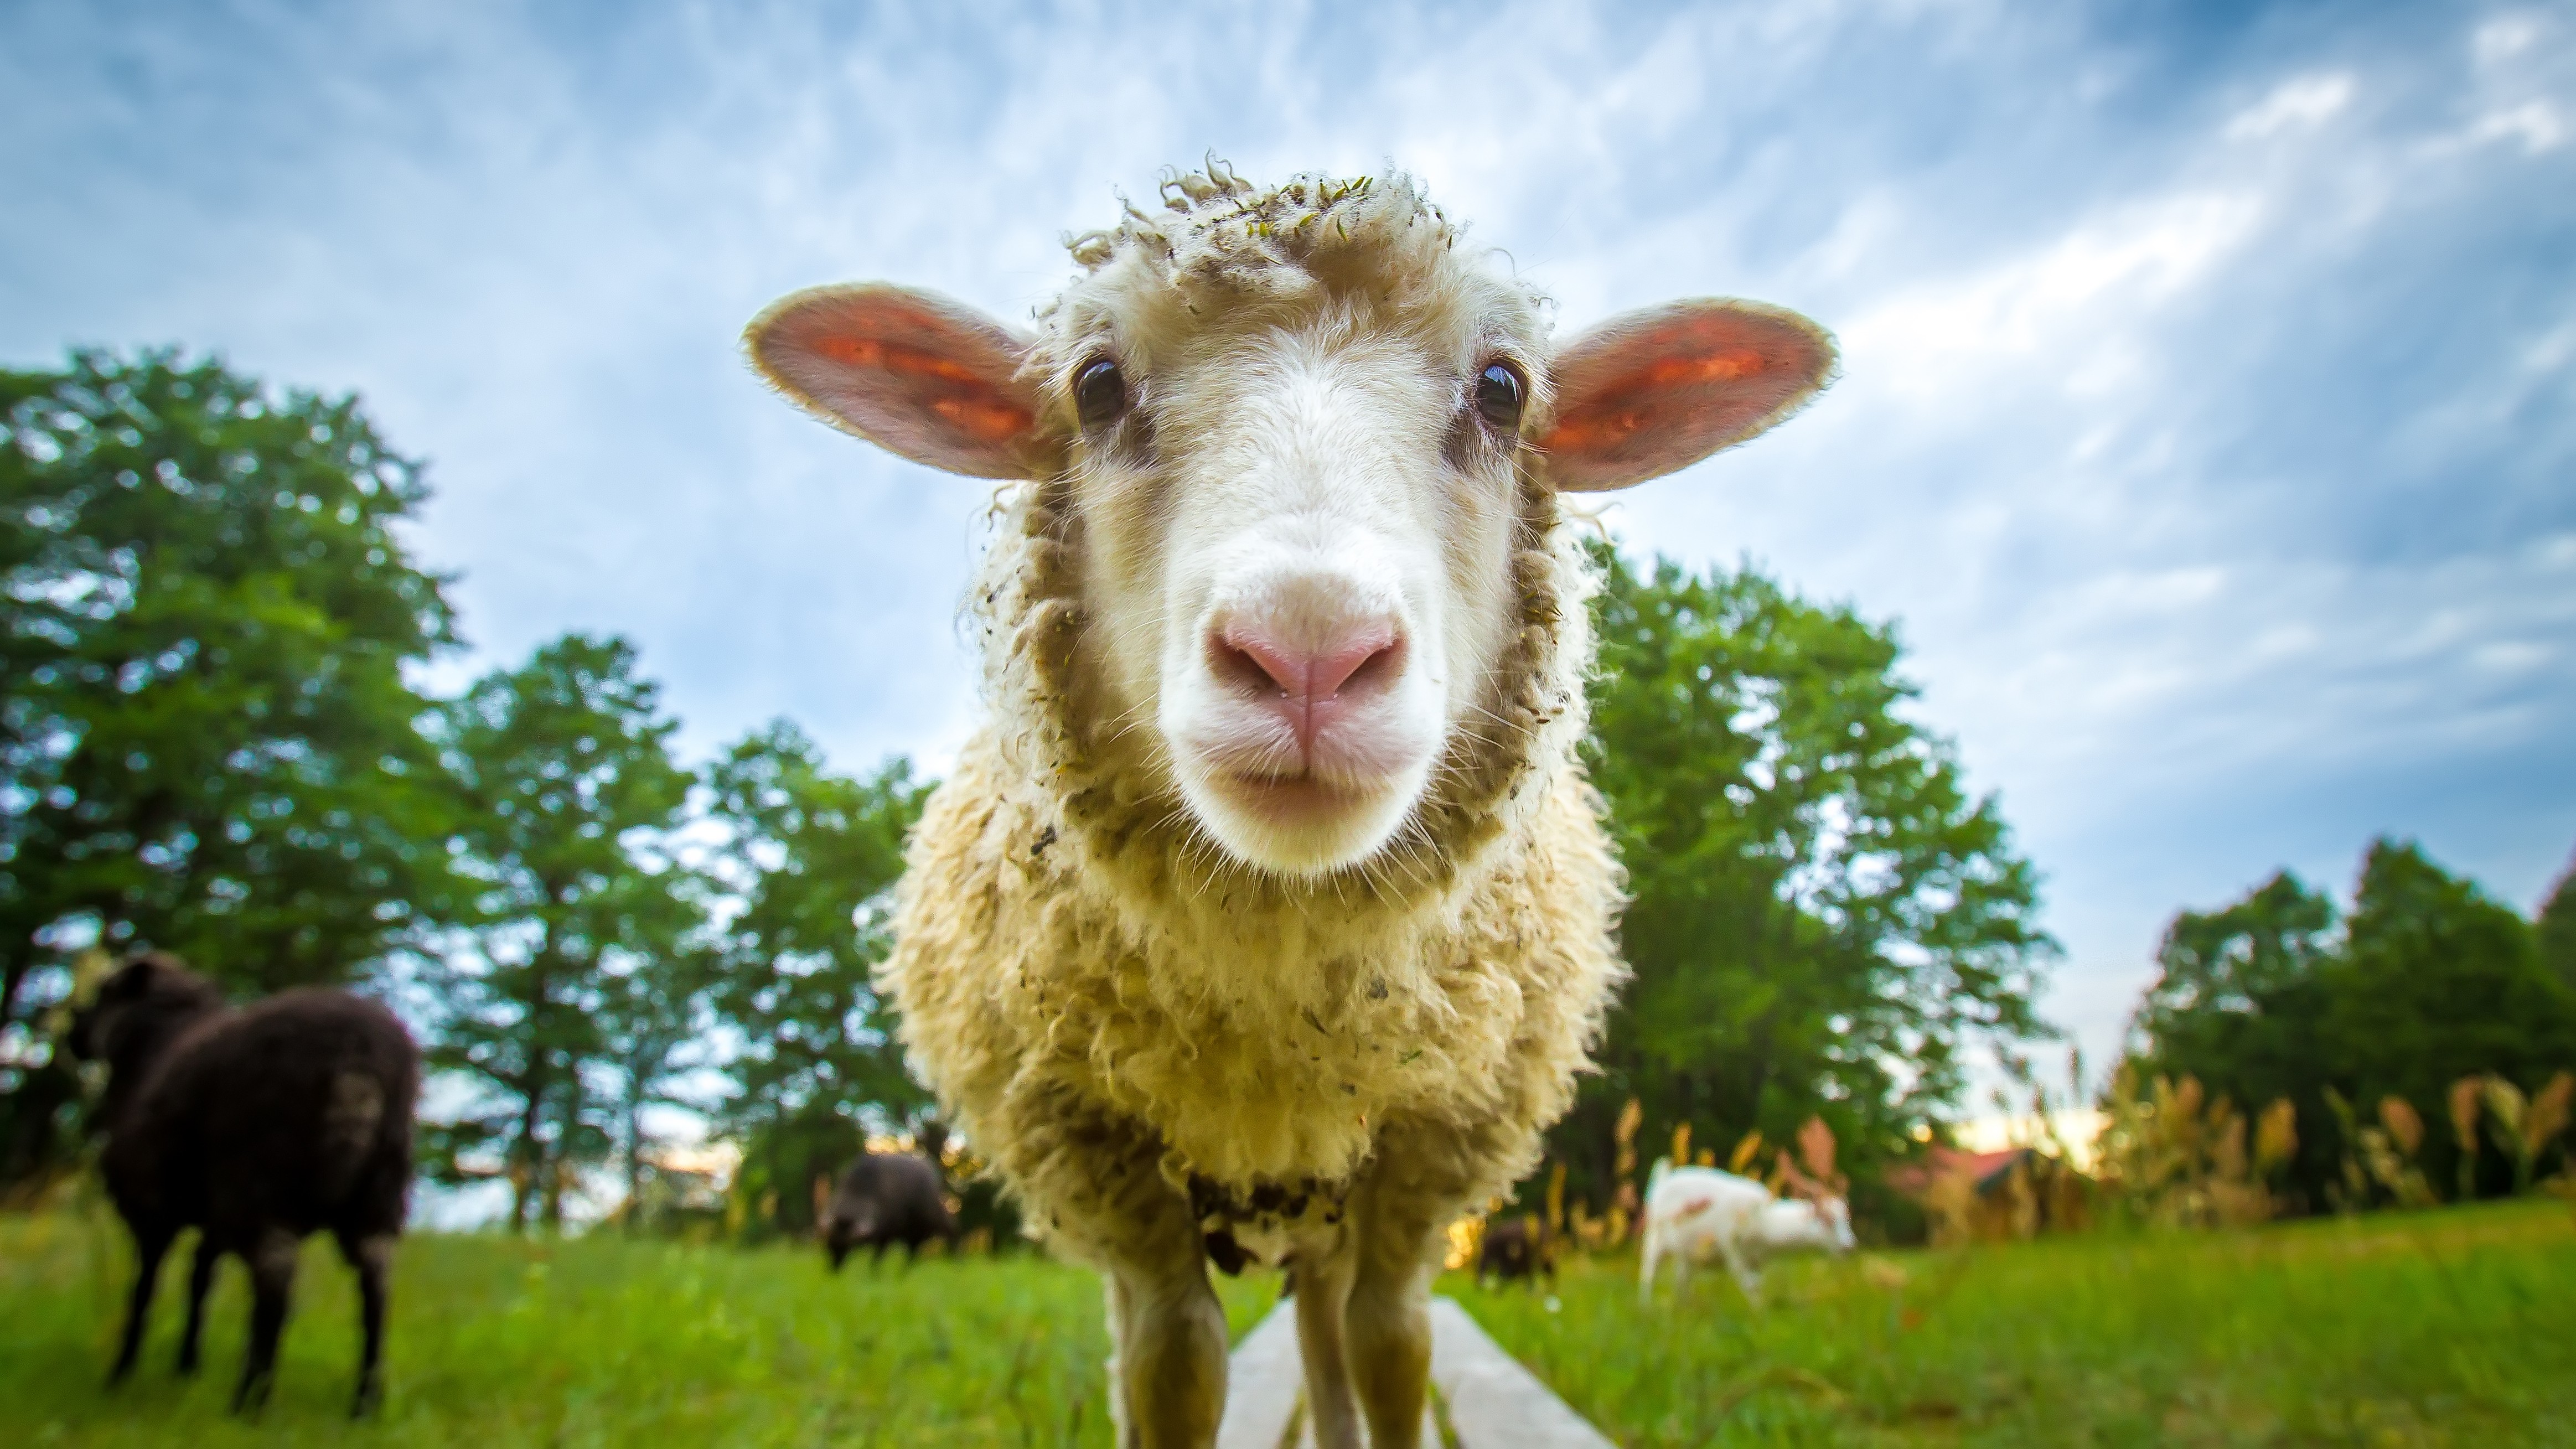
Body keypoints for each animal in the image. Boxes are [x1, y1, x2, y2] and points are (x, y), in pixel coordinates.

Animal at [69, 952, 422, 1420]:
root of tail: (357, 1059)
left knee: (275, 1277)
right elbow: (201, 1282)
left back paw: (251, 1401)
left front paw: (122, 1374)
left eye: (105, 991)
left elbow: (145, 1289)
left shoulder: (151, 1208)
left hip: (259, 1179)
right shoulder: (211, 1219)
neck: (152, 1046)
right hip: (378, 1191)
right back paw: (365, 1404)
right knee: (376, 1282)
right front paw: (187, 1369)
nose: (73, 1036)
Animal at [819, 1158, 963, 1271]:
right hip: (913, 1232)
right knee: (913, 1251)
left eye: (849, 1246)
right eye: (828, 1246)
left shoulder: (886, 1234)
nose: (834, 1269)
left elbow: (878, 1256)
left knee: (951, 1230)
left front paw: (874, 1273)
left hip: (934, 1217)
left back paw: (956, 1261)